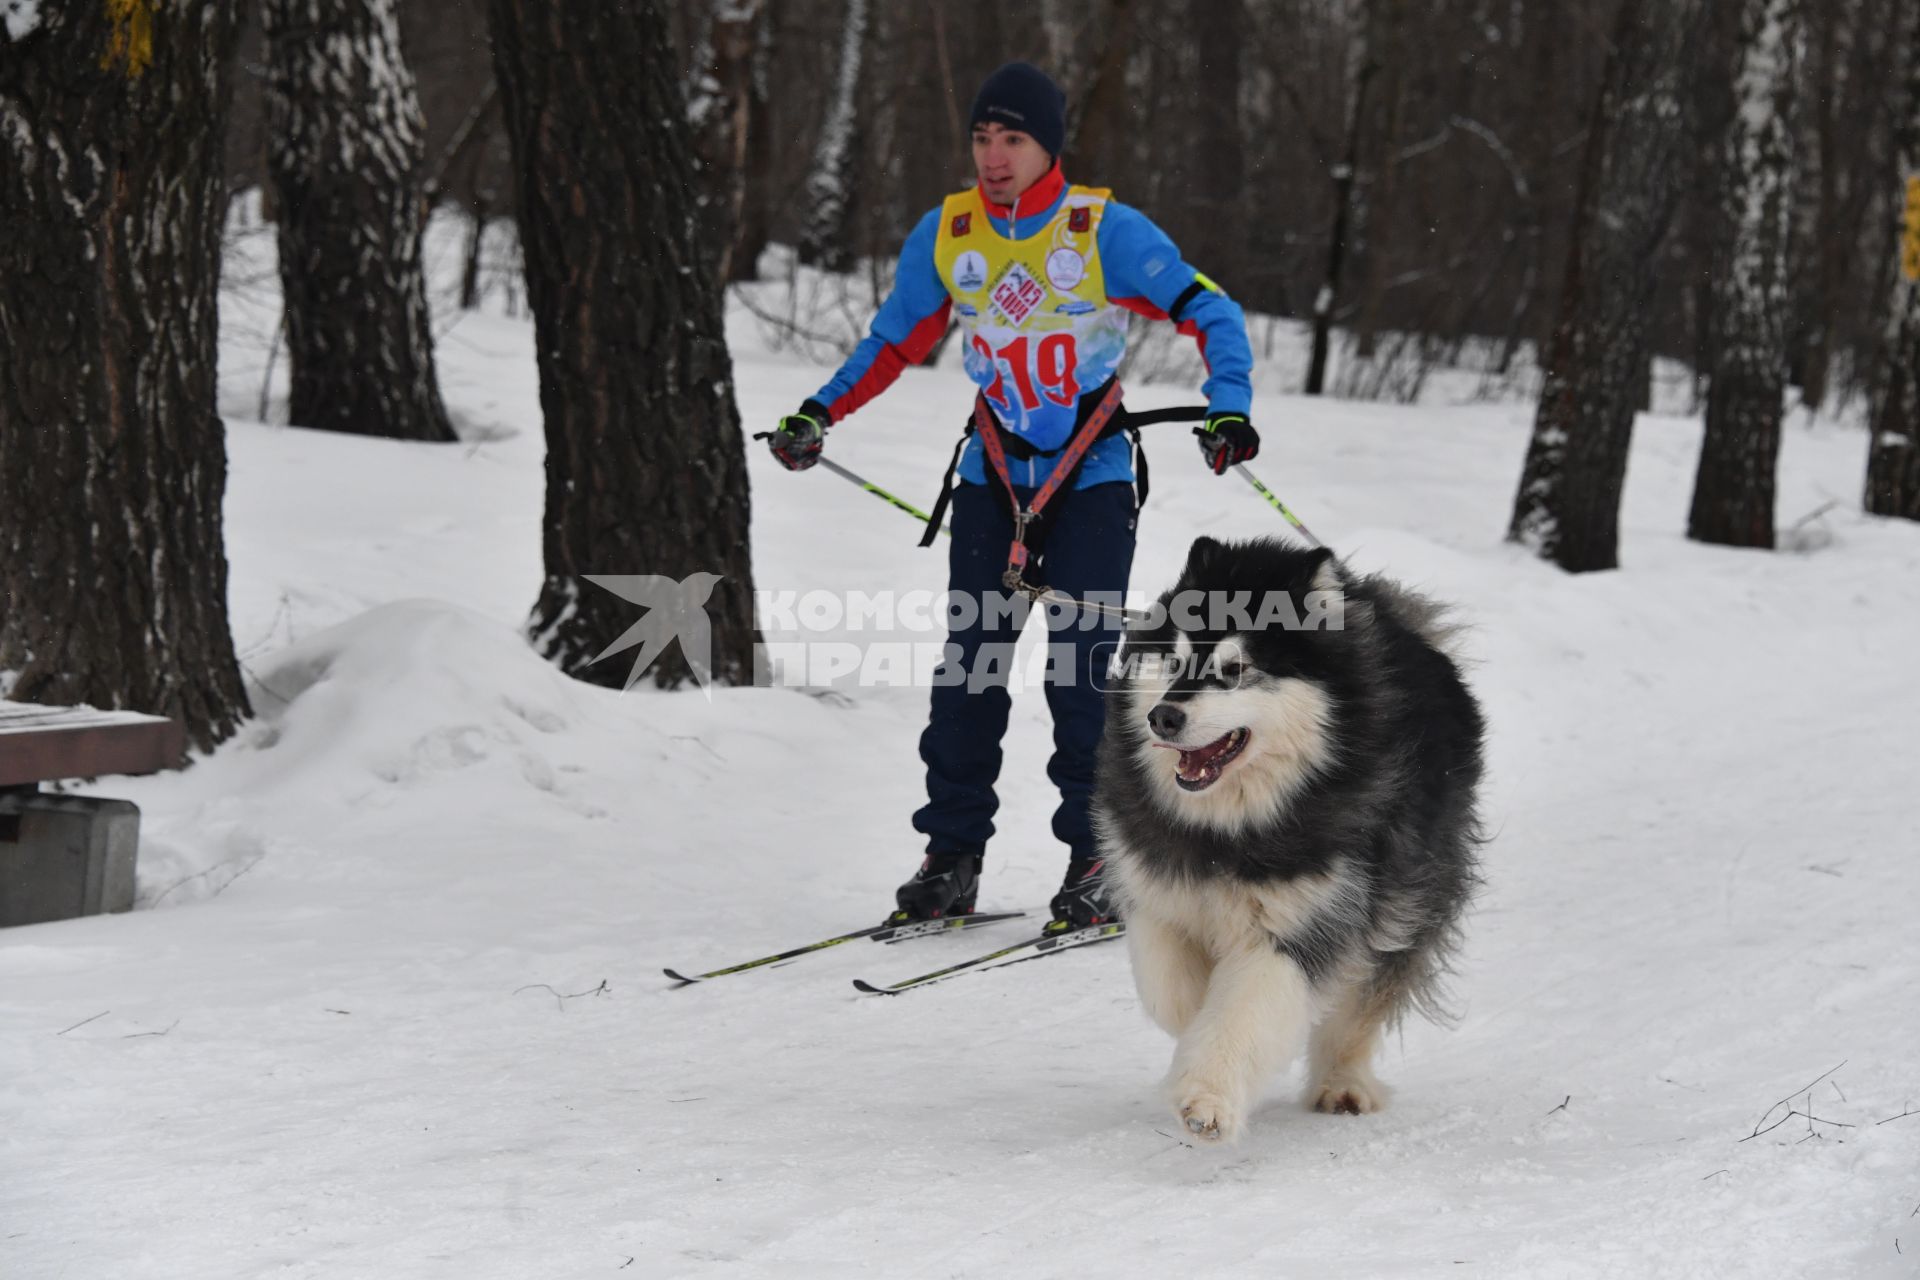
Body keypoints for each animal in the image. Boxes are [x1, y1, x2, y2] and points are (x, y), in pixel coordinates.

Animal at [1098, 537, 1482, 1143]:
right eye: (1176, 661)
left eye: (1234, 670)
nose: (1163, 717)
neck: (1227, 832)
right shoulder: (1158, 891)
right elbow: (1173, 992)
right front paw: (1194, 1023)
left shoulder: (1306, 921)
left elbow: (1245, 1008)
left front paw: (1207, 1098)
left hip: (1407, 893)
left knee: (1359, 1004)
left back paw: (1342, 1083)